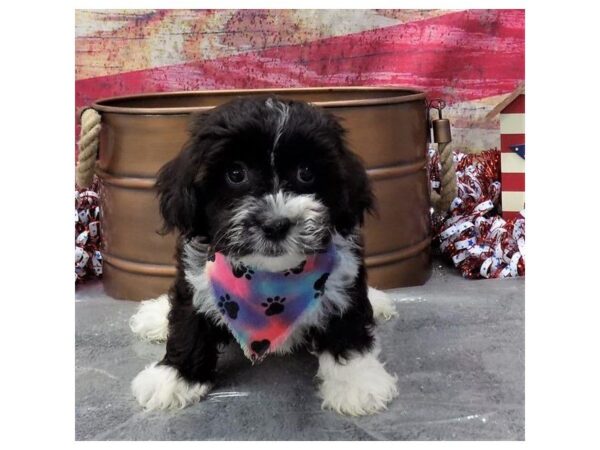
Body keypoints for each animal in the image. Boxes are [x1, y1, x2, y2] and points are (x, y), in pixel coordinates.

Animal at [134, 96, 400, 416]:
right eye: (235, 173)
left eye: (306, 172)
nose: (275, 224)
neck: (271, 276)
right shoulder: (195, 272)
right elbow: (189, 320)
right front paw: (174, 377)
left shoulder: (345, 279)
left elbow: (347, 324)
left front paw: (356, 381)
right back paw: (155, 315)